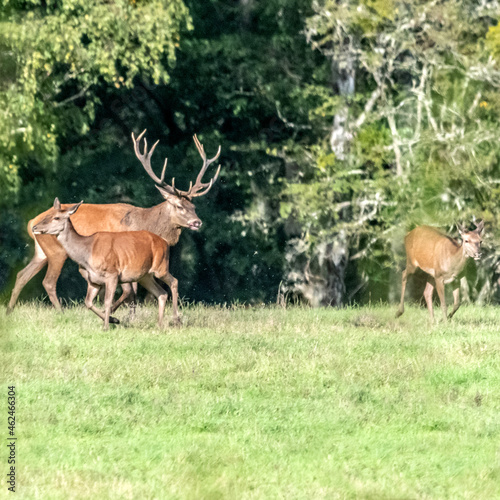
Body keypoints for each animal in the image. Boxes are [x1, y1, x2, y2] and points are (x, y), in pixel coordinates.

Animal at [6, 131, 222, 314]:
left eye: (194, 206)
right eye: (179, 206)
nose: (197, 222)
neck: (145, 223)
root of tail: (32, 222)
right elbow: (128, 290)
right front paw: (116, 313)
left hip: (41, 250)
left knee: (22, 275)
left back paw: (9, 310)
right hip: (56, 250)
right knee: (48, 282)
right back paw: (60, 312)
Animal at [32, 197, 177, 330]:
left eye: (56, 217)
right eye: (46, 215)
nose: (35, 227)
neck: (87, 253)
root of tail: (165, 243)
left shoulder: (112, 274)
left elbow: (107, 302)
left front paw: (106, 326)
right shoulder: (94, 281)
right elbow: (88, 302)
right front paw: (114, 320)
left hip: (161, 267)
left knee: (174, 282)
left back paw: (177, 320)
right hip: (145, 276)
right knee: (162, 293)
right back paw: (160, 325)